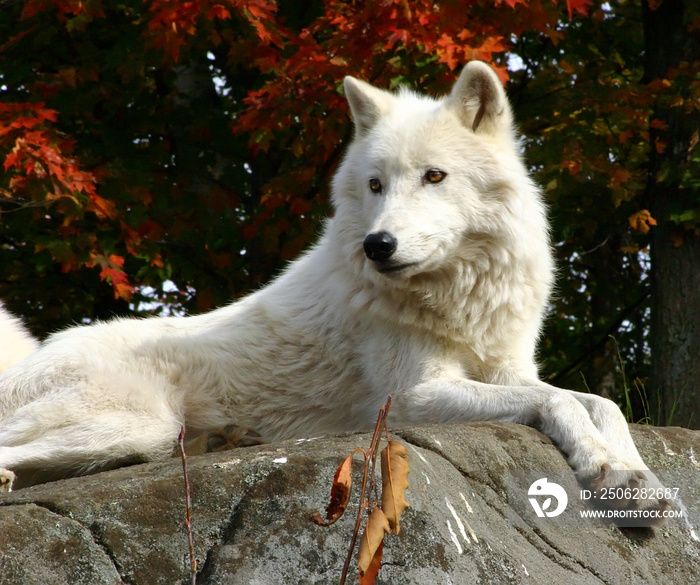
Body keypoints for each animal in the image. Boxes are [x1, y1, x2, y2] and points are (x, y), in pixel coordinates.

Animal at [0, 62, 668, 516]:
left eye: (434, 176)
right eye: (375, 184)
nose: (378, 245)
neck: (456, 295)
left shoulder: (506, 370)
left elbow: (598, 403)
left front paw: (635, 476)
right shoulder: (411, 397)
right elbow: (559, 404)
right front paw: (604, 463)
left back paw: (224, 439)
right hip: (136, 422)